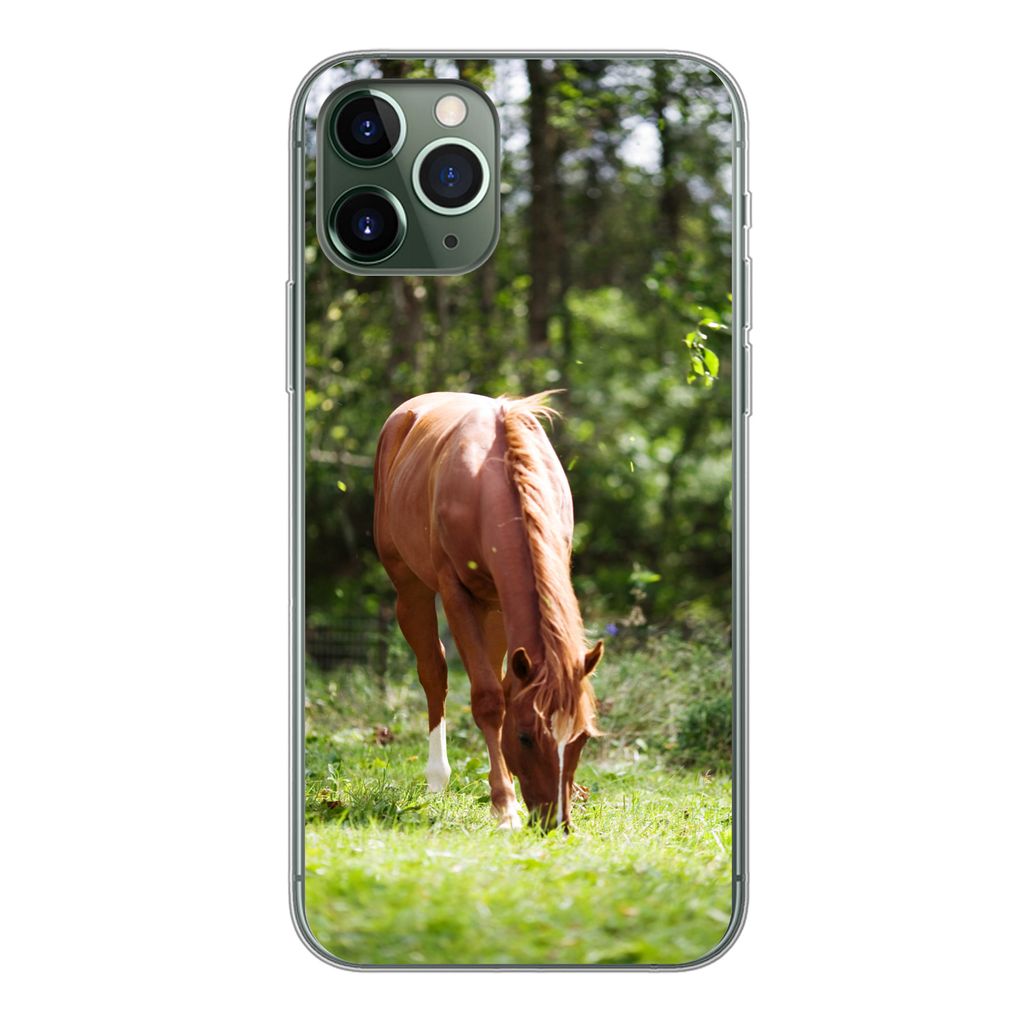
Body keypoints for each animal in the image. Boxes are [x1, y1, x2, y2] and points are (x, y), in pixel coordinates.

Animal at [372, 391, 603, 831]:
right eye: (526, 737)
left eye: (582, 737)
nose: (555, 822)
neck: (491, 482)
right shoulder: (456, 593)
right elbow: (487, 699)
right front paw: (505, 807)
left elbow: (503, 689)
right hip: (410, 590)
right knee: (434, 673)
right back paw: (437, 780)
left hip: (495, 607)